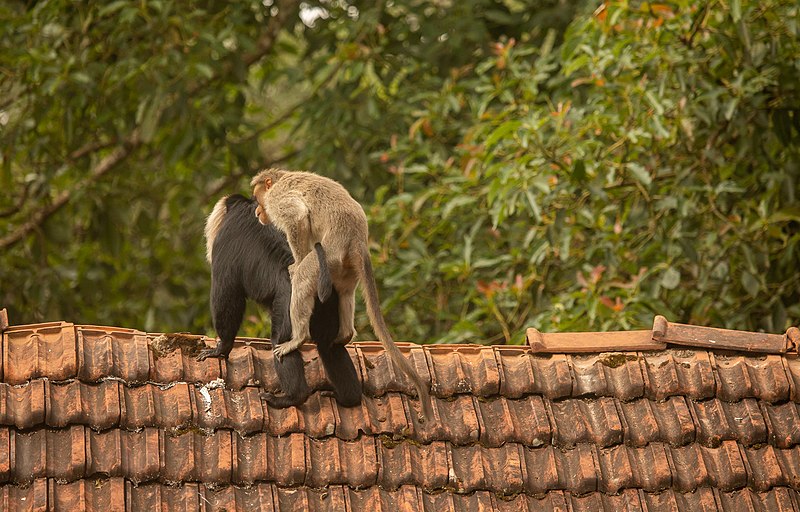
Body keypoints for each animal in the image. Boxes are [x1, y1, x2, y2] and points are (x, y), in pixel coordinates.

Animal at [198, 193, 360, 408]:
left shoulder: (225, 240)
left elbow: (227, 292)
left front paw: (221, 348)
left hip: (291, 302)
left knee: (280, 340)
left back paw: (292, 397)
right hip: (328, 303)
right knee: (329, 345)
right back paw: (349, 398)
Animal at [253, 170, 434, 422]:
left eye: (257, 198)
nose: (257, 212)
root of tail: (357, 238)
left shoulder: (277, 200)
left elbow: (297, 217)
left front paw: (296, 263)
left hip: (330, 253)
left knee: (305, 276)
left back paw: (298, 338)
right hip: (343, 265)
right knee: (345, 292)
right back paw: (345, 335)